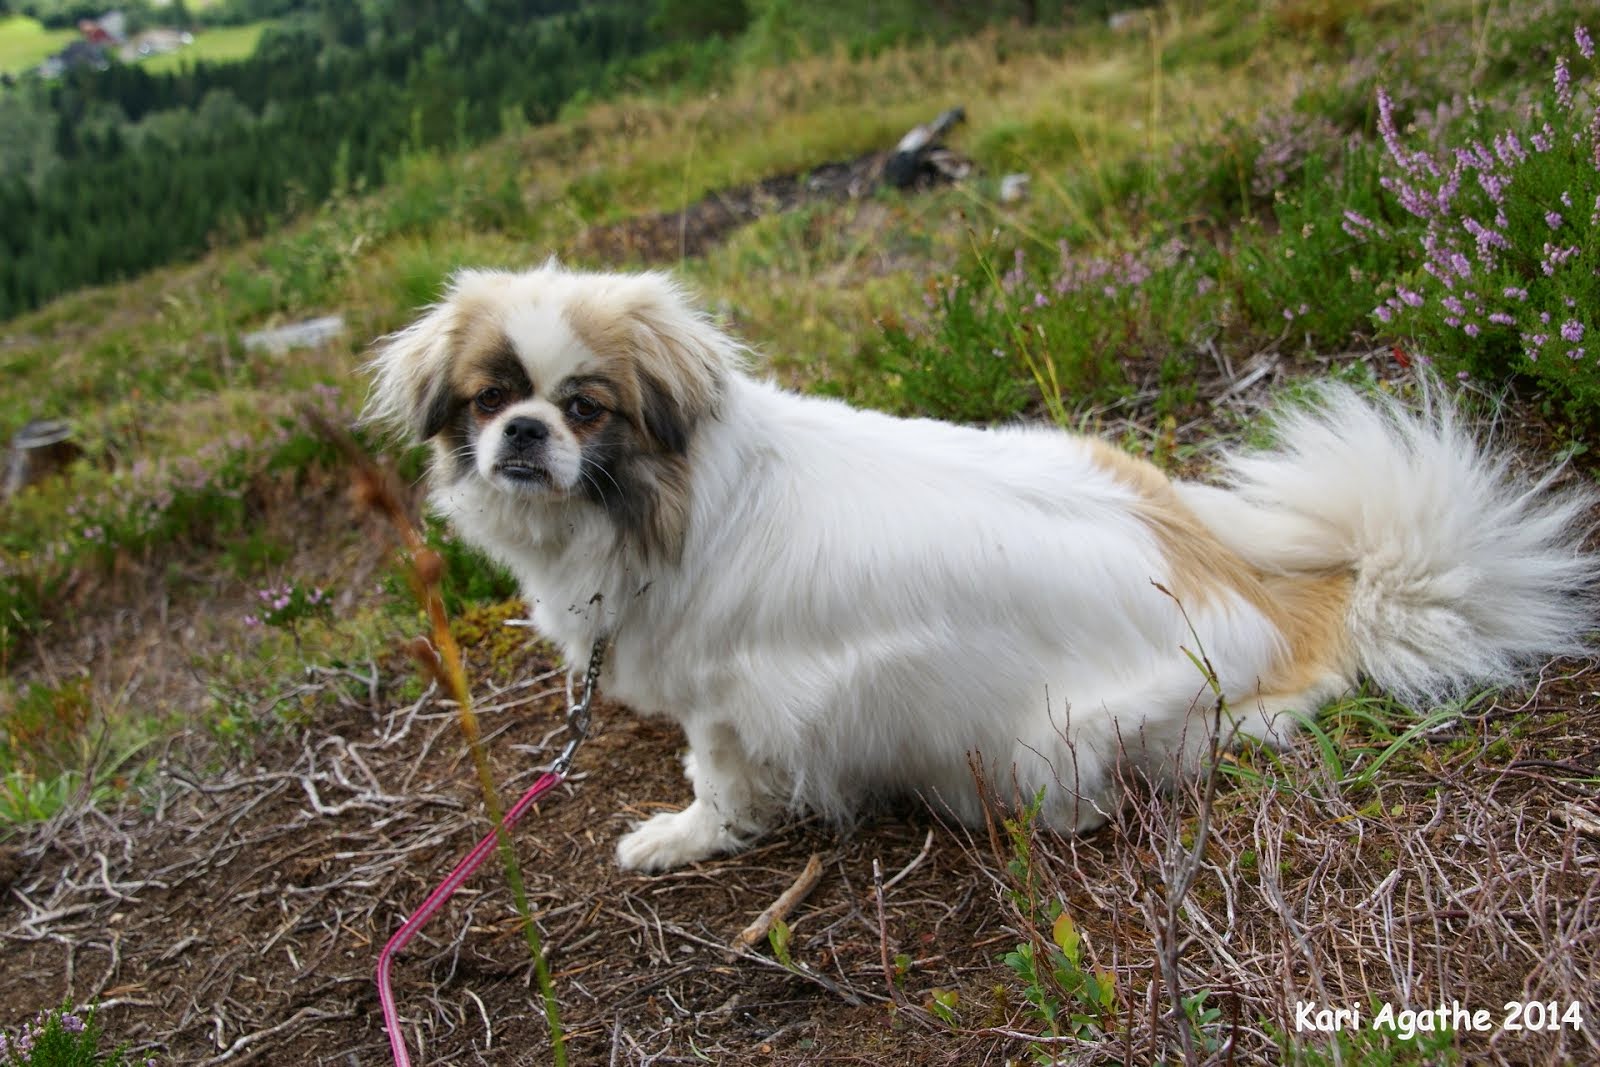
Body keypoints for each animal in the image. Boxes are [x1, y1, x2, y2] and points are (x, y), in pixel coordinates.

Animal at [366, 262, 1600, 870]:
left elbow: (717, 783)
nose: (525, 433)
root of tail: (1264, 597)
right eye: (490, 398)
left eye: (586, 408)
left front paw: (681, 838)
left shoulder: (724, 702)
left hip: (1046, 744)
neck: (653, 504)